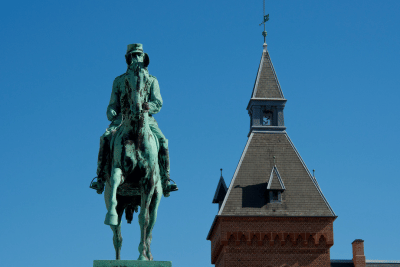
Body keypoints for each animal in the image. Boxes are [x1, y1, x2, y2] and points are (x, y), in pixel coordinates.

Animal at [104, 65, 164, 262]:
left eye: (146, 80)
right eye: (127, 80)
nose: (137, 108)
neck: (136, 134)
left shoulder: (148, 183)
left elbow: (143, 219)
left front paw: (142, 256)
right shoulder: (119, 170)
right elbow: (115, 179)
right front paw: (110, 216)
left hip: (155, 201)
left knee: (150, 226)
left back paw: (147, 253)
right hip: (118, 201)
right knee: (117, 237)